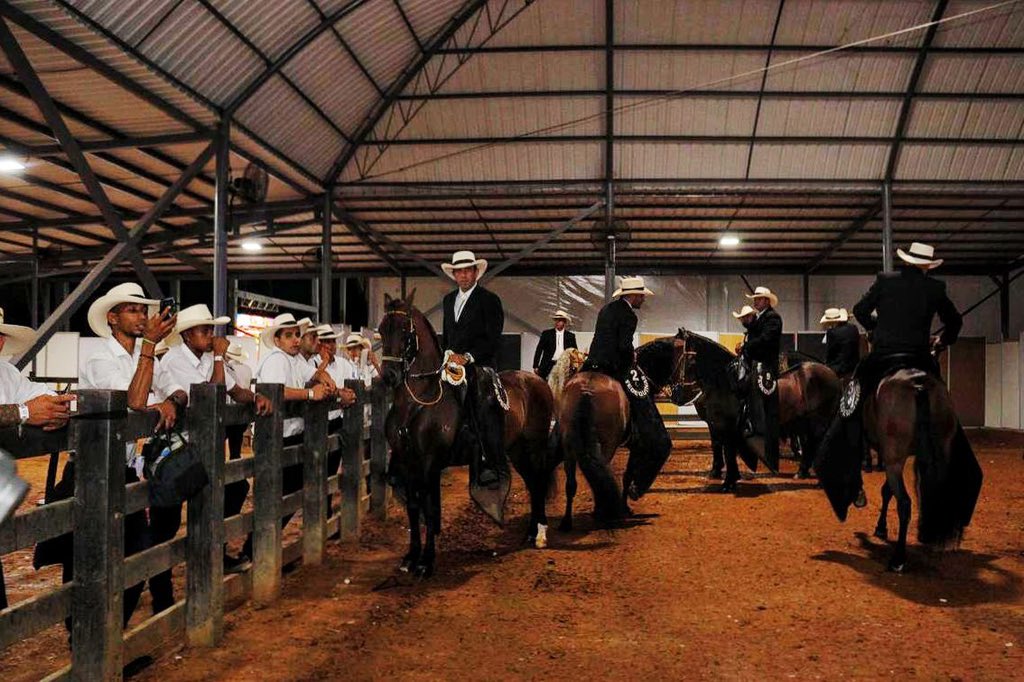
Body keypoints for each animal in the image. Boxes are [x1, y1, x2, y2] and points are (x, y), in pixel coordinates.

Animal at [377, 292, 559, 577]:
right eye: (382, 329)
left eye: (406, 331)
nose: (389, 375)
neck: (418, 402)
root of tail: (538, 381)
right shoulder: (408, 464)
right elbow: (414, 507)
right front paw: (410, 557)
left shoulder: (429, 464)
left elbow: (430, 509)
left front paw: (426, 561)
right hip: (516, 450)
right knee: (532, 482)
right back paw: (530, 534)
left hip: (535, 446)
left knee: (539, 481)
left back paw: (540, 534)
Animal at [557, 334, 688, 529]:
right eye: (685, 360)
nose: (681, 391)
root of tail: (587, 389)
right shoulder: (637, 447)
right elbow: (628, 475)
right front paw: (626, 507)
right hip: (607, 446)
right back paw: (604, 513)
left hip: (569, 447)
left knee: (571, 483)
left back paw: (567, 521)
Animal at [673, 329, 841, 492]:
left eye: (685, 358)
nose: (677, 394)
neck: (724, 382)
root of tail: (831, 373)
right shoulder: (716, 423)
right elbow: (720, 446)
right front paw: (723, 474)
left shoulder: (725, 425)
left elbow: (725, 449)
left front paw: (726, 479)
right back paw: (803, 472)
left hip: (819, 420)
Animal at [818, 366, 983, 572]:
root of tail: (919, 385)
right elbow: (887, 490)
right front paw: (881, 527)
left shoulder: (890, 458)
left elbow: (886, 490)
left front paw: (877, 524)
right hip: (937, 452)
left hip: (893, 459)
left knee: (904, 503)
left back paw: (898, 558)